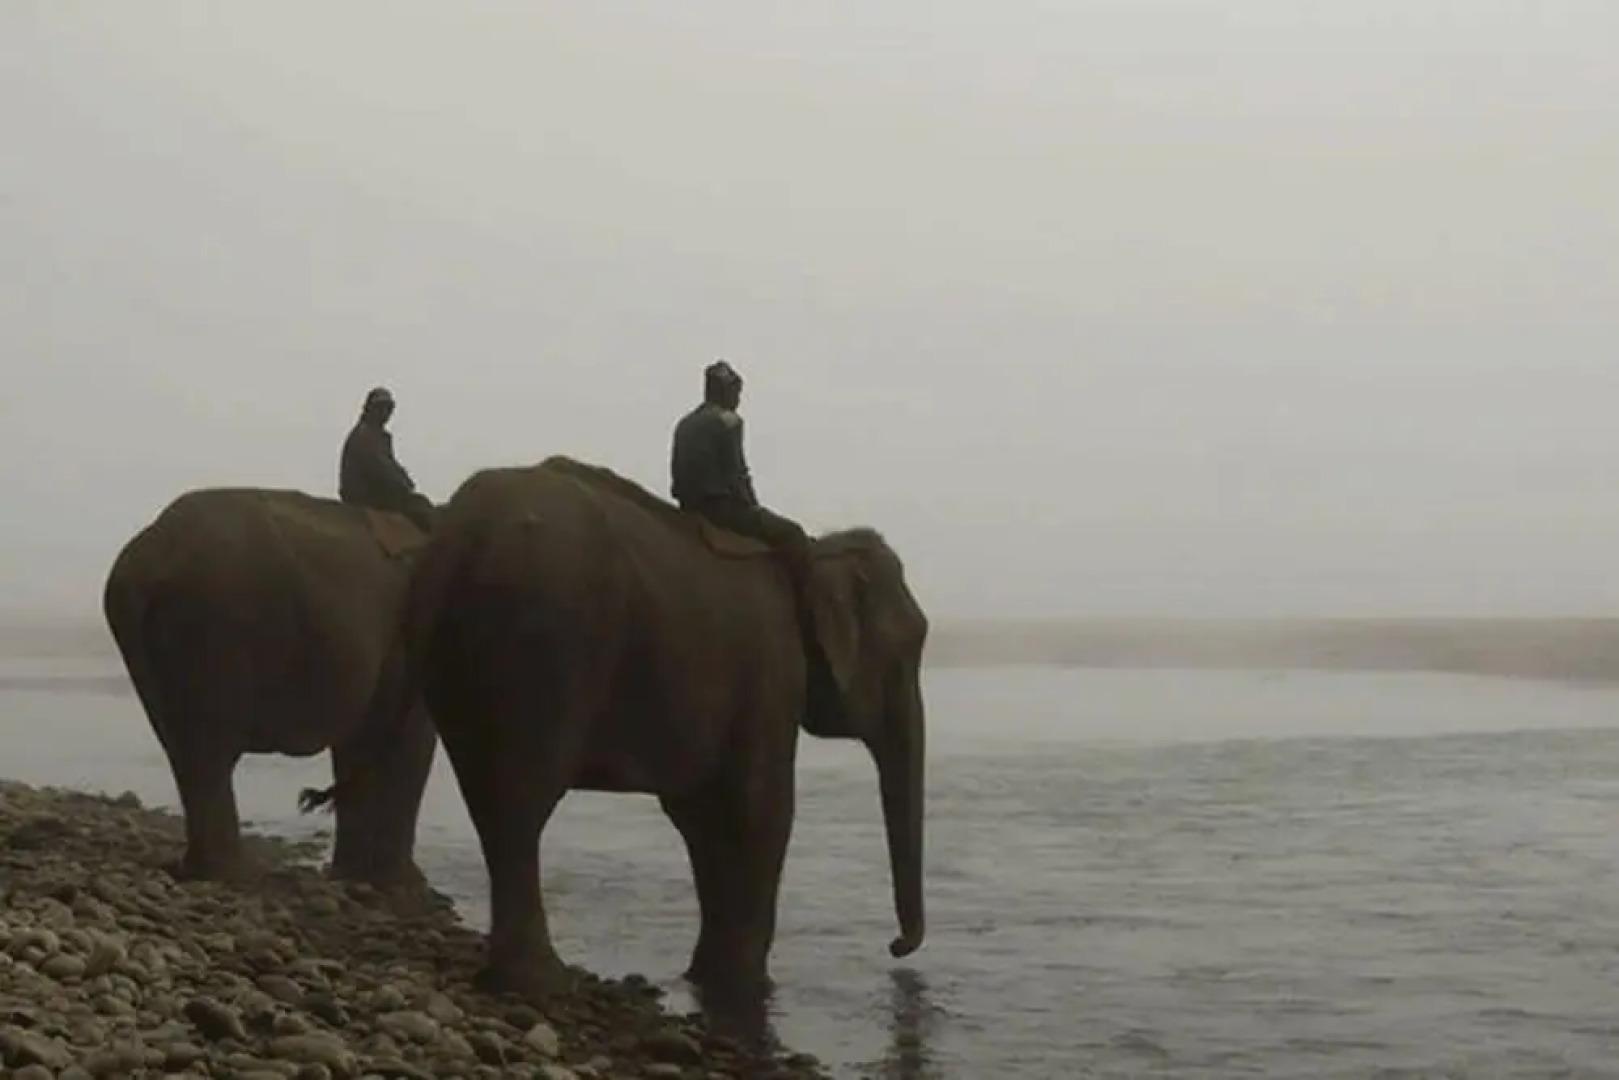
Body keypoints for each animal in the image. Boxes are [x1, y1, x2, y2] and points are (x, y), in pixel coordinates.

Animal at [102, 486, 440, 885]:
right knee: (209, 750)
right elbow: (410, 744)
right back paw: (236, 874)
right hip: (214, 625)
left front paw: (353, 876)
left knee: (183, 749)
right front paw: (405, 887)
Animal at [304, 454, 929, 1000]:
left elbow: (701, 816)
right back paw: (538, 983)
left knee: (492, 802)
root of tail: (453, 542)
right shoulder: (772, 674)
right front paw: (745, 989)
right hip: (544, 646)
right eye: (909, 652)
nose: (897, 947)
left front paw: (704, 981)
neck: (815, 555)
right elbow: (761, 811)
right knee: (519, 804)